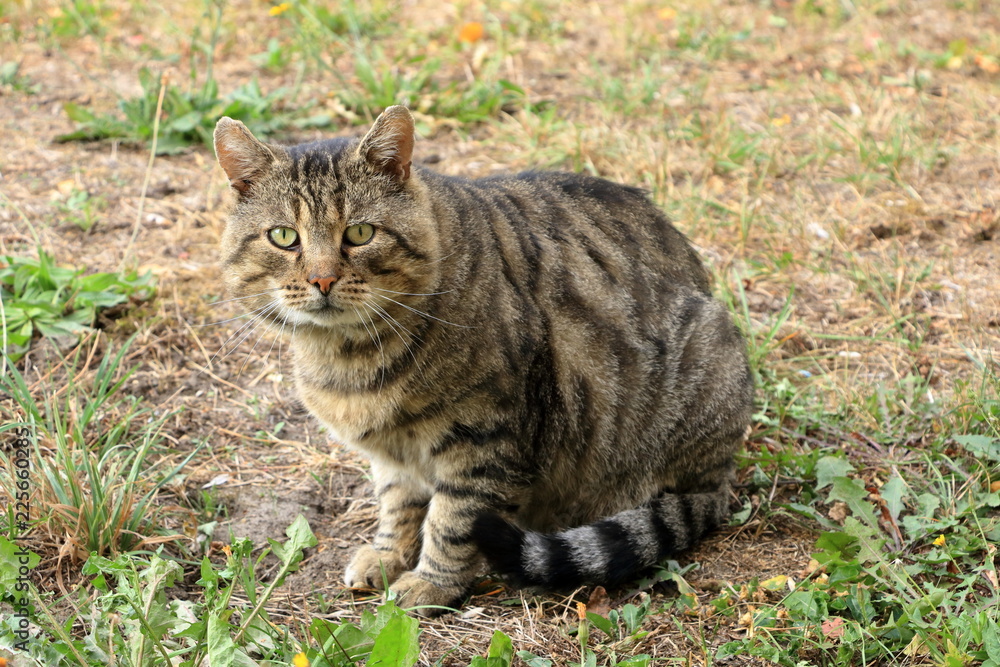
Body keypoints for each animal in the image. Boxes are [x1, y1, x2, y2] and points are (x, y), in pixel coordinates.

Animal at [215, 105, 752, 616]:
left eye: (360, 233)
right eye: (284, 237)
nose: (322, 279)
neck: (348, 355)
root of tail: (720, 480)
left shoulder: (485, 440)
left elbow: (453, 522)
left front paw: (430, 584)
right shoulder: (394, 453)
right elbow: (398, 505)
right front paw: (388, 556)